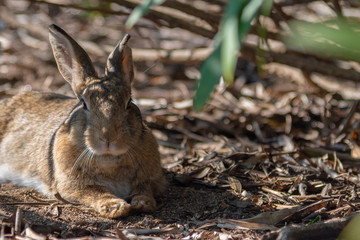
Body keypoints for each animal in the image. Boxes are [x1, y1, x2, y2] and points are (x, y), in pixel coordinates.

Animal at [0, 24, 166, 218]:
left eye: (129, 102)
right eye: (84, 104)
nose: (108, 137)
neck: (108, 159)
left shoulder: (151, 180)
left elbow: (145, 189)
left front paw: (143, 203)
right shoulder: (74, 186)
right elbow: (97, 191)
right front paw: (115, 207)